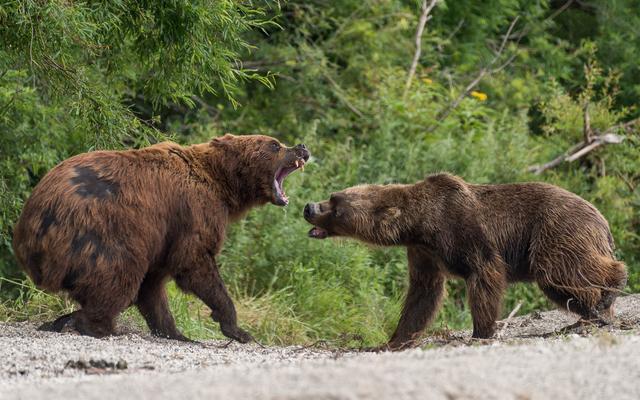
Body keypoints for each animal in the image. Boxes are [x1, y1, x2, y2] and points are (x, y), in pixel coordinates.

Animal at [11, 133, 308, 342]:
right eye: (274, 145)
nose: (302, 147)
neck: (222, 185)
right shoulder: (193, 212)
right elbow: (195, 262)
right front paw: (236, 328)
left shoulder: (164, 235)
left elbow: (154, 286)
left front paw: (176, 333)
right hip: (101, 232)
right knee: (119, 276)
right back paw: (99, 326)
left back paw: (62, 321)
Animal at [302, 173, 628, 348]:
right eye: (333, 195)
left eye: (336, 205)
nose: (309, 207)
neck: (420, 224)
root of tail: (601, 217)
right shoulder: (424, 252)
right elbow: (422, 294)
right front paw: (394, 340)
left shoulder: (462, 229)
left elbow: (485, 274)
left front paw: (481, 331)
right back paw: (591, 312)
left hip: (554, 229)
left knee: (561, 269)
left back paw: (610, 289)